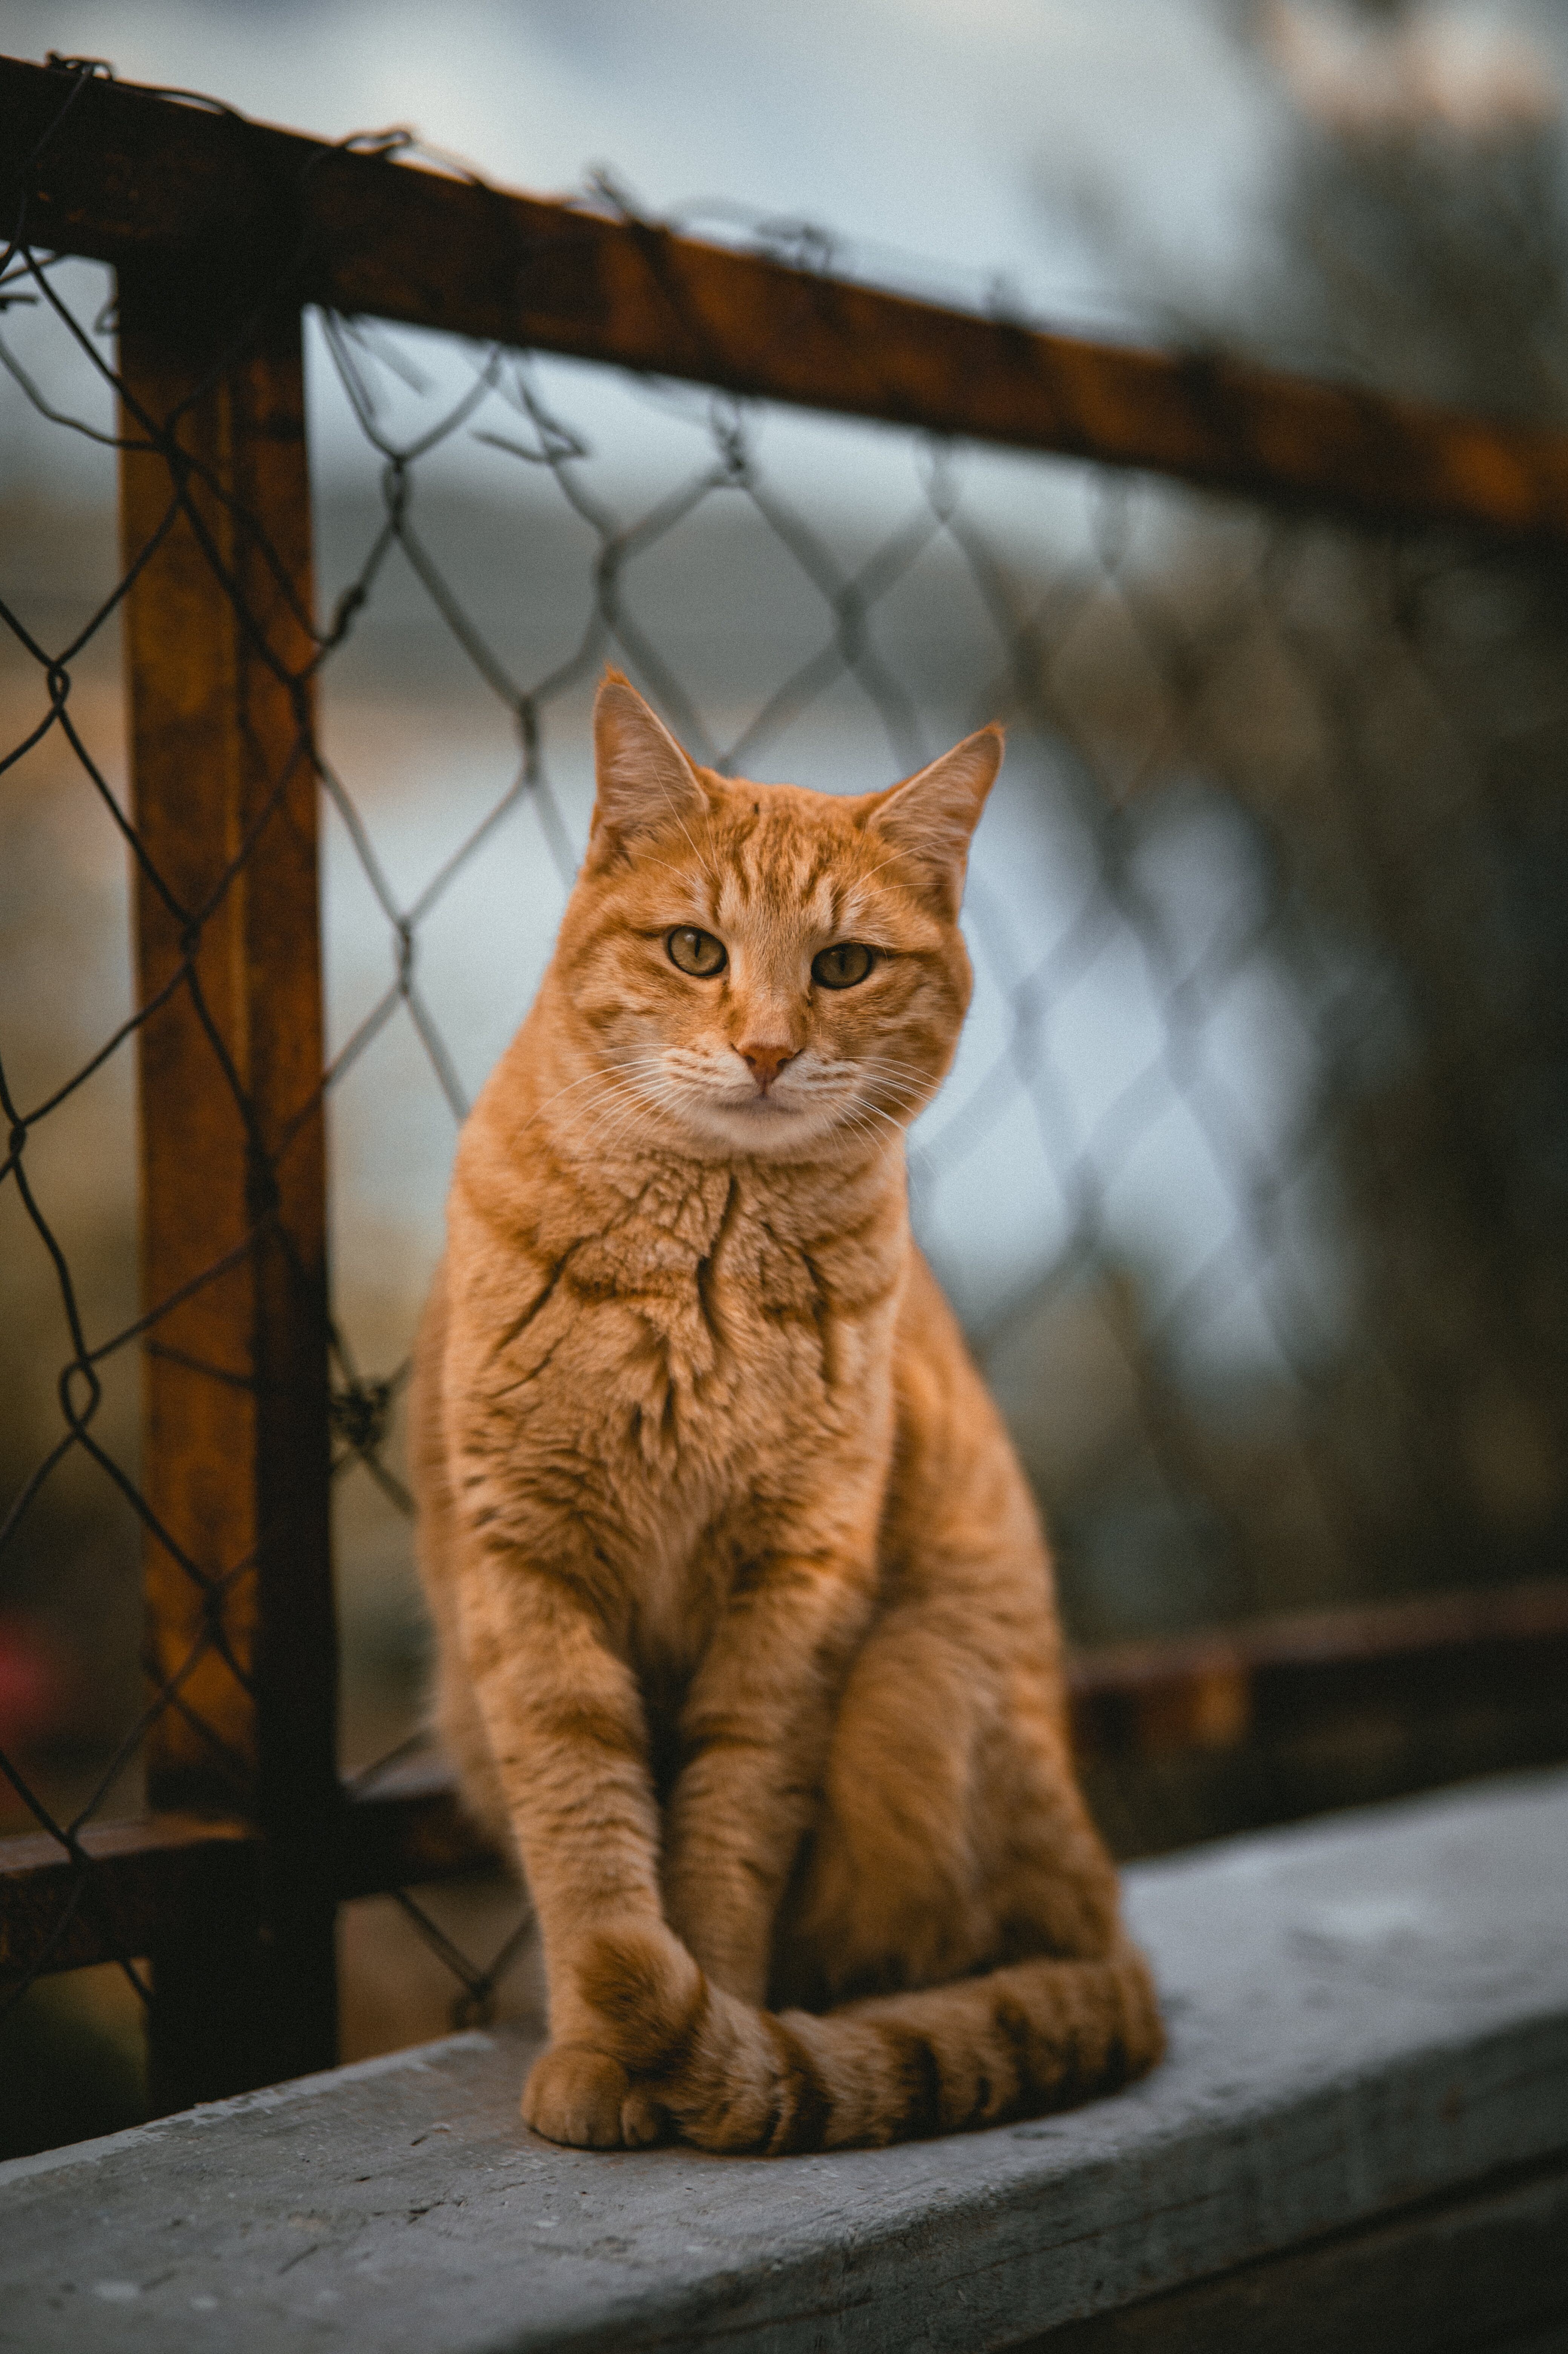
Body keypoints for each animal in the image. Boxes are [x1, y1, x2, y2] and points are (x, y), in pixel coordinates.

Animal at [405, 668, 1158, 2156]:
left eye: (842, 967)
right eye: (696, 950)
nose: (762, 1049)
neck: (702, 1257)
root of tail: (1111, 1923)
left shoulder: (789, 1594)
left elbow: (721, 1839)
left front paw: (700, 2040)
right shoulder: (530, 1574)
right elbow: (588, 1842)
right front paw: (606, 2041)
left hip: (909, 1691)